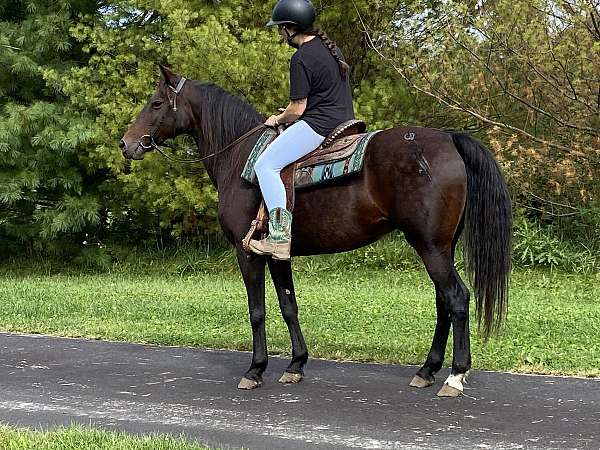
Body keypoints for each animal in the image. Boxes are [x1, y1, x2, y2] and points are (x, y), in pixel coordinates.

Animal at [120, 64, 510, 398]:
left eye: (156, 103)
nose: (126, 144)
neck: (239, 157)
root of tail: (449, 140)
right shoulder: (278, 255)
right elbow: (288, 305)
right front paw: (295, 364)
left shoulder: (247, 253)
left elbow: (257, 309)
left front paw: (255, 370)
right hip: (439, 247)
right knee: (443, 301)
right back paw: (427, 370)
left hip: (430, 247)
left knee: (456, 298)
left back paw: (455, 376)